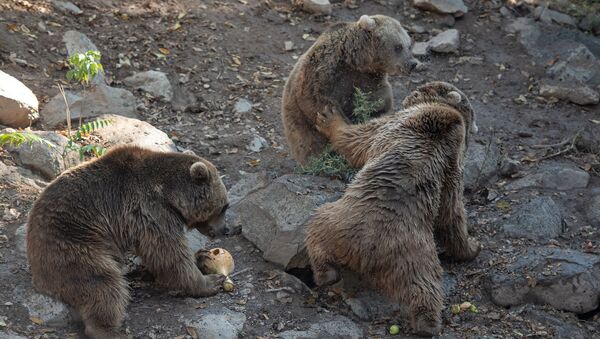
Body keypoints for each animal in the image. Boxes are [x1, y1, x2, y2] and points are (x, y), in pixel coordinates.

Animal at [25, 145, 230, 339]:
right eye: (224, 207)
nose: (225, 229)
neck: (169, 194)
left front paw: (201, 256)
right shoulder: (150, 210)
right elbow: (168, 253)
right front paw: (211, 282)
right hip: (74, 245)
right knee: (103, 284)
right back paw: (111, 331)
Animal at [284, 13, 420, 165]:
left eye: (409, 45)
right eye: (398, 46)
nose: (412, 64)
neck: (356, 61)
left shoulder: (368, 80)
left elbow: (379, 102)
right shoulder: (323, 71)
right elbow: (316, 100)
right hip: (301, 135)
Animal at [308, 82, 480, 338]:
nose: (410, 93)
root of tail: (367, 255)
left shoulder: (396, 125)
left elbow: (358, 139)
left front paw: (329, 116)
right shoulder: (451, 165)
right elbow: (452, 213)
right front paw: (472, 246)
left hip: (341, 222)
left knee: (316, 228)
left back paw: (325, 274)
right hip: (416, 254)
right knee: (425, 285)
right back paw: (428, 323)